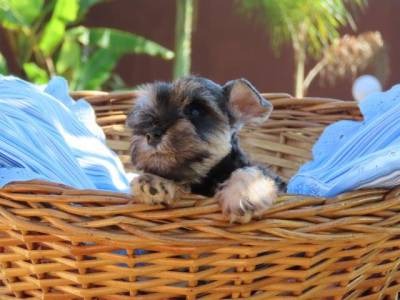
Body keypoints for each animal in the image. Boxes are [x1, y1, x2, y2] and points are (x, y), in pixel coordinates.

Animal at [126, 77, 286, 223]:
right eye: (149, 113)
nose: (152, 134)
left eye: (195, 111)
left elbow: (251, 170)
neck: (208, 176)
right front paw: (155, 181)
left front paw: (242, 195)